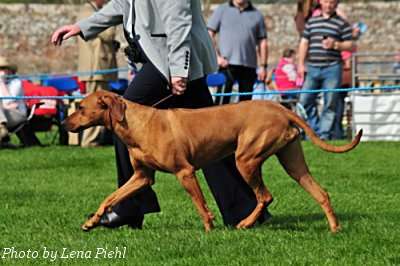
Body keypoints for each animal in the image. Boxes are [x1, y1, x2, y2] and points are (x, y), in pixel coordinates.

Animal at [65, 91, 362, 233]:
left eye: (80, 107)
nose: (66, 124)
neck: (138, 124)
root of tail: (280, 107)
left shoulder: (185, 172)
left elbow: (201, 205)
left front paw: (208, 230)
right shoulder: (141, 177)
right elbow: (110, 198)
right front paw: (92, 222)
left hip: (246, 159)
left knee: (265, 196)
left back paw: (245, 223)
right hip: (292, 162)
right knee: (320, 192)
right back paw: (334, 228)